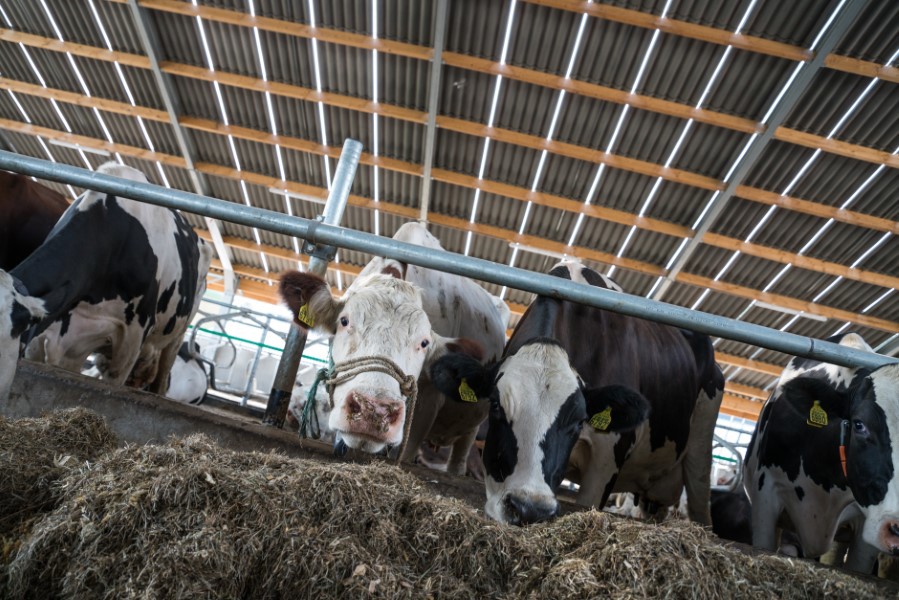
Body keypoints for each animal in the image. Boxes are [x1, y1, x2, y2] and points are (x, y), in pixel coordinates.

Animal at [278, 223, 510, 472]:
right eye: (344, 321)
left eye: (424, 343)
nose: (374, 410)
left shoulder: (426, 404)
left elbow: (404, 454)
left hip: (472, 427)